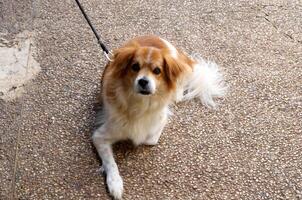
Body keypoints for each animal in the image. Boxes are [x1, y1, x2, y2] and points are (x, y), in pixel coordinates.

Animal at [92, 35, 226, 199]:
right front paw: (115, 184)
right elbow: (110, 163)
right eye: (135, 67)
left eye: (157, 70)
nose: (143, 81)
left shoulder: (161, 119)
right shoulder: (100, 136)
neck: (140, 103)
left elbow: (149, 139)